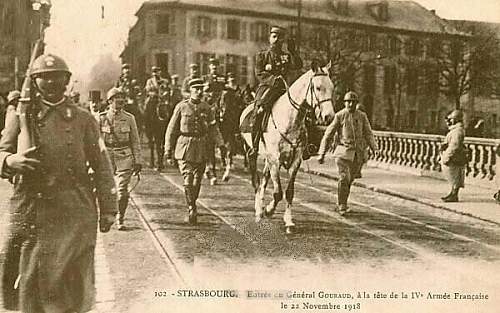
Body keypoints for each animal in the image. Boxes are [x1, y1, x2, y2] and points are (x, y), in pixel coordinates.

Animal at [239, 61, 334, 233]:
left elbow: (289, 192)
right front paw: (269, 210)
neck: (289, 119)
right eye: (317, 88)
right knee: (256, 180)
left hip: (268, 157)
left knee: (264, 179)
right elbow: (278, 193)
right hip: (252, 151)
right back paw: (258, 209)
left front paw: (288, 221)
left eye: (332, 87)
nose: (329, 117)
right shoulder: (275, 159)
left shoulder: (295, 160)